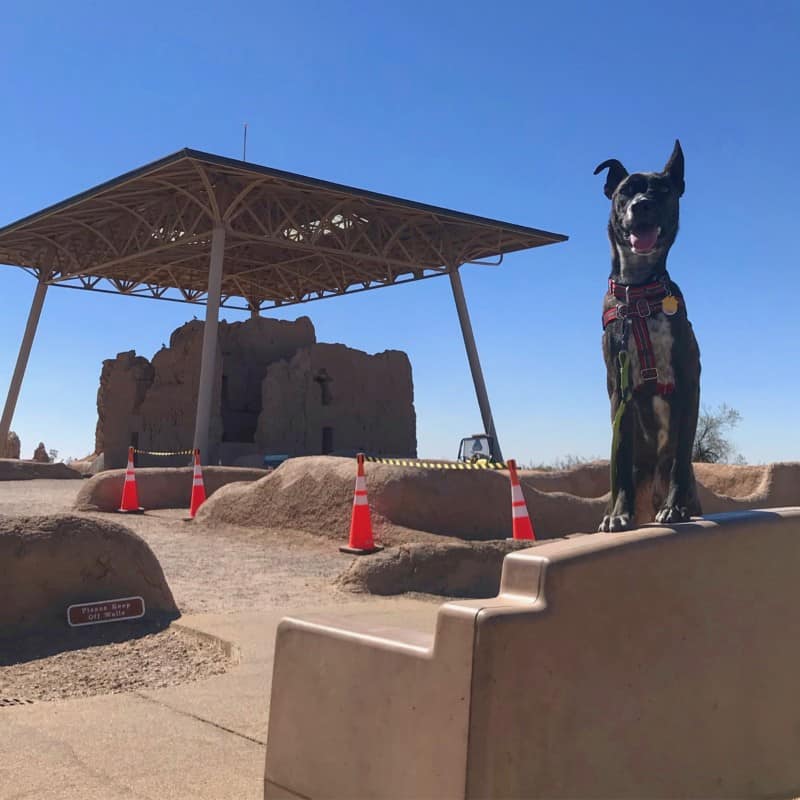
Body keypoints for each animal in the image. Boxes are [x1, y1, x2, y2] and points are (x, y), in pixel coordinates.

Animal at [592, 143, 700, 532]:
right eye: (625, 191)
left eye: (663, 190)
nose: (641, 205)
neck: (638, 293)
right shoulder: (618, 392)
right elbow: (620, 458)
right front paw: (618, 513)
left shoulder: (689, 384)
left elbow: (683, 453)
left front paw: (675, 508)